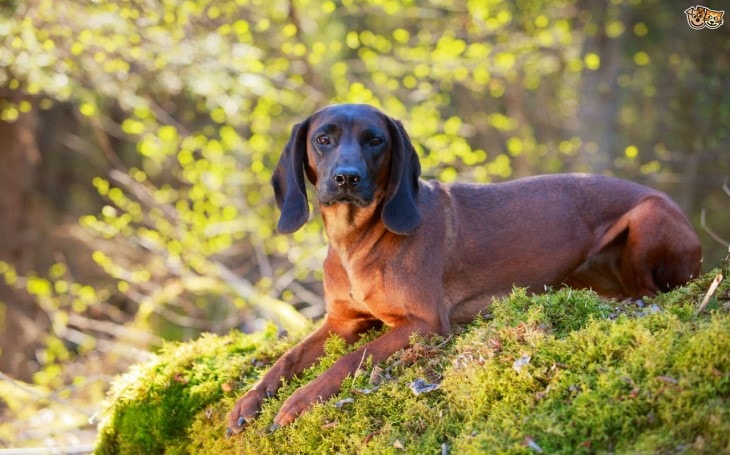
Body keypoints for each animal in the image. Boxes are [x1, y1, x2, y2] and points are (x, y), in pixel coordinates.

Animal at [225, 103, 696, 434]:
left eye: (375, 141)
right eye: (323, 138)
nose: (346, 177)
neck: (356, 242)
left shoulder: (424, 324)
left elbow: (351, 360)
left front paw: (300, 400)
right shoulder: (340, 323)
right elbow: (286, 359)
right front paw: (250, 400)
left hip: (649, 215)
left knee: (649, 293)